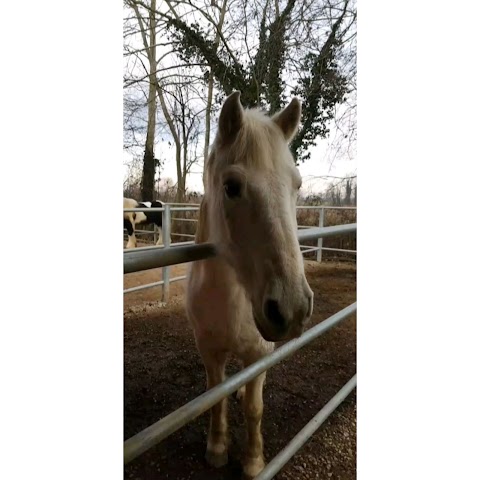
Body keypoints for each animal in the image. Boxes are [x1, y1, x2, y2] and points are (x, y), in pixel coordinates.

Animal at [186, 92, 314, 478]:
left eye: (297, 185)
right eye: (231, 187)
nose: (292, 308)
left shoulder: (258, 353)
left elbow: (255, 409)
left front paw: (254, 462)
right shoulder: (209, 351)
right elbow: (215, 398)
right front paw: (216, 449)